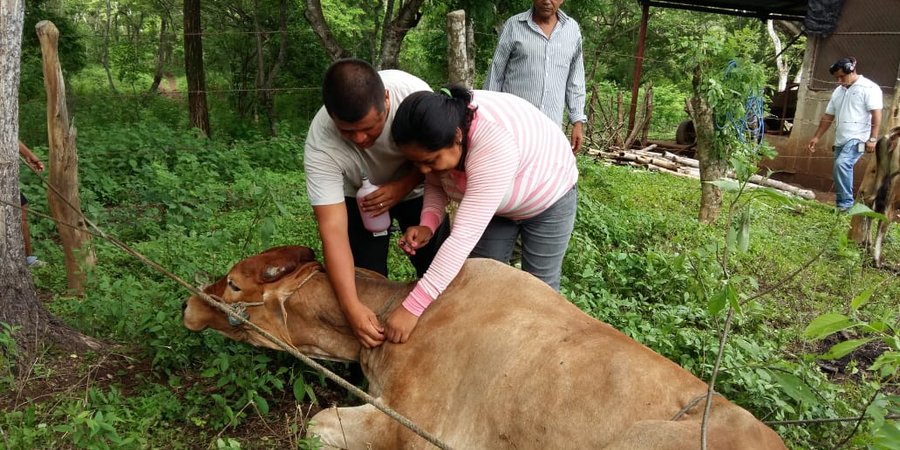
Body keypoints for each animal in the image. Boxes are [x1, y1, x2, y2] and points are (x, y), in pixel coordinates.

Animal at [852, 126, 900, 268]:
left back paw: (867, 246)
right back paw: (877, 261)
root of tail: (892, 136)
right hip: (895, 188)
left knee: (871, 205)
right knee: (885, 215)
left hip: (882, 175)